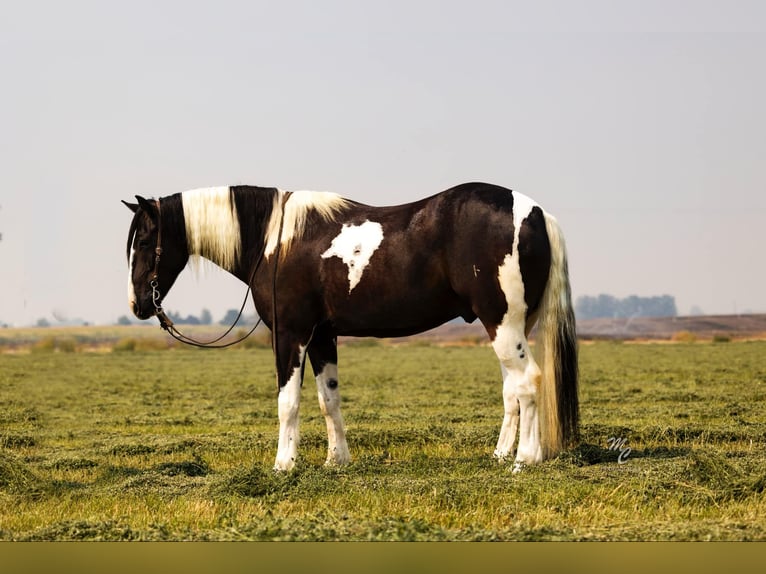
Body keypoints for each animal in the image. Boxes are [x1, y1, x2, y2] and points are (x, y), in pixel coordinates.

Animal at [123, 182, 578, 472]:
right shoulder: (323, 335)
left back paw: (524, 460)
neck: (276, 240)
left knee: (529, 382)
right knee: (512, 390)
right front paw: (335, 460)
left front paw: (283, 465)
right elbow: (329, 399)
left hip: (503, 323)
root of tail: (536, 214)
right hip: (508, 325)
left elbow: (288, 402)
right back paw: (501, 455)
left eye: (144, 242)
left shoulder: (290, 334)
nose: (139, 305)